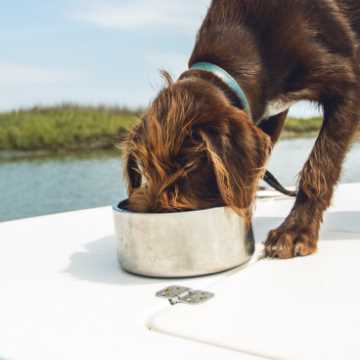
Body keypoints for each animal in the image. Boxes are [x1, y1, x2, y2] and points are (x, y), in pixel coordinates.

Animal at [121, 0, 360, 258]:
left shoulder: (348, 86)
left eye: (190, 166)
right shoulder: (268, 112)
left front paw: (295, 229)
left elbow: (318, 167)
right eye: (144, 168)